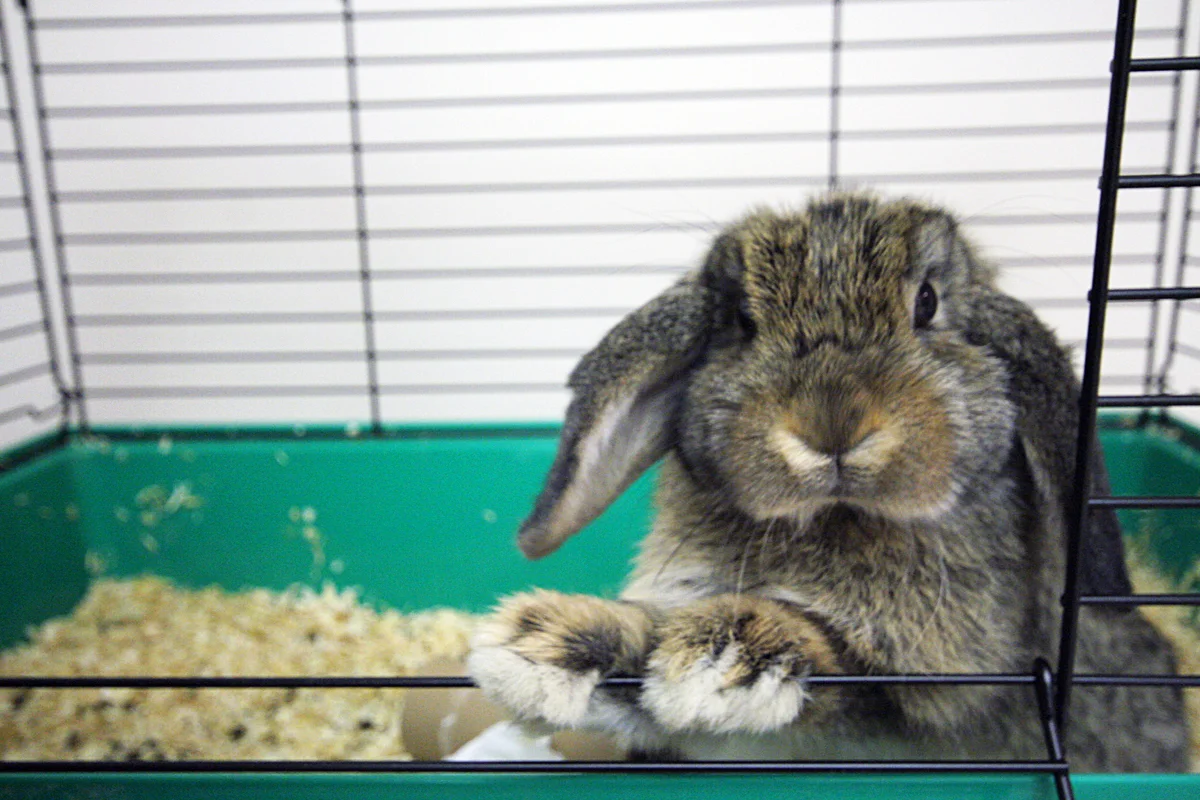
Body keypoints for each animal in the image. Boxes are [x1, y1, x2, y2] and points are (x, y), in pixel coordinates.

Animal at [467, 191, 1191, 772]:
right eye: (742, 322)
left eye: (927, 304)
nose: (831, 422)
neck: (837, 515)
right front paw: (543, 646)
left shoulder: (950, 699)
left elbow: (844, 679)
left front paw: (732, 655)